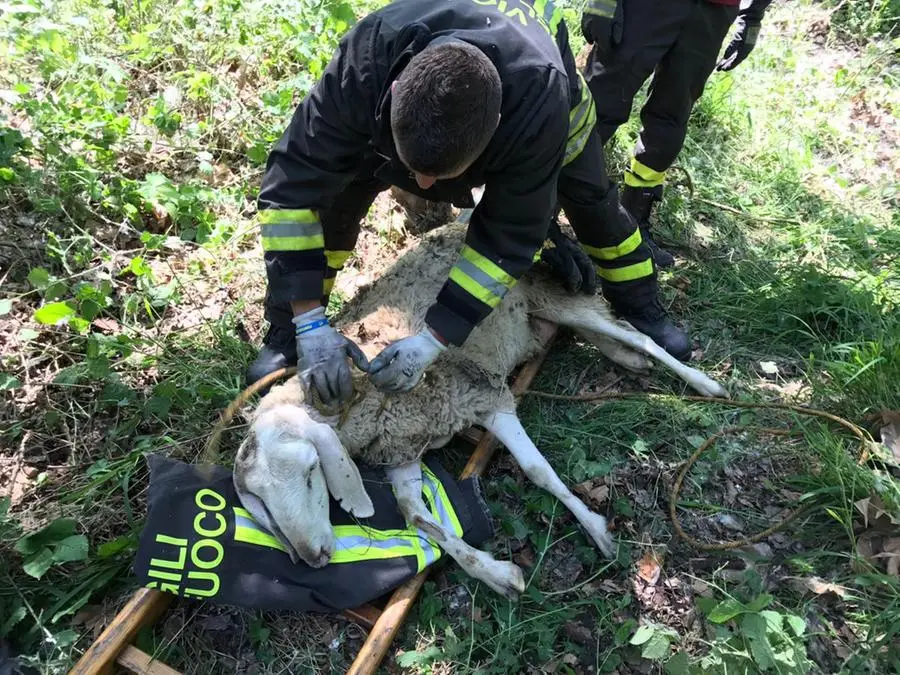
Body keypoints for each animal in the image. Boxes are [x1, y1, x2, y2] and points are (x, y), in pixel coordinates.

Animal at [236, 220, 728, 596]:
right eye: (260, 500)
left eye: (309, 472)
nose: (315, 558)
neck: (364, 401)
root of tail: (462, 222)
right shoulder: (402, 449)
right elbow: (417, 517)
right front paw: (496, 574)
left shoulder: (484, 398)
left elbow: (537, 471)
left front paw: (596, 529)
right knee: (605, 335)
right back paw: (629, 361)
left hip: (553, 296)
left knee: (637, 333)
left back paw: (704, 383)